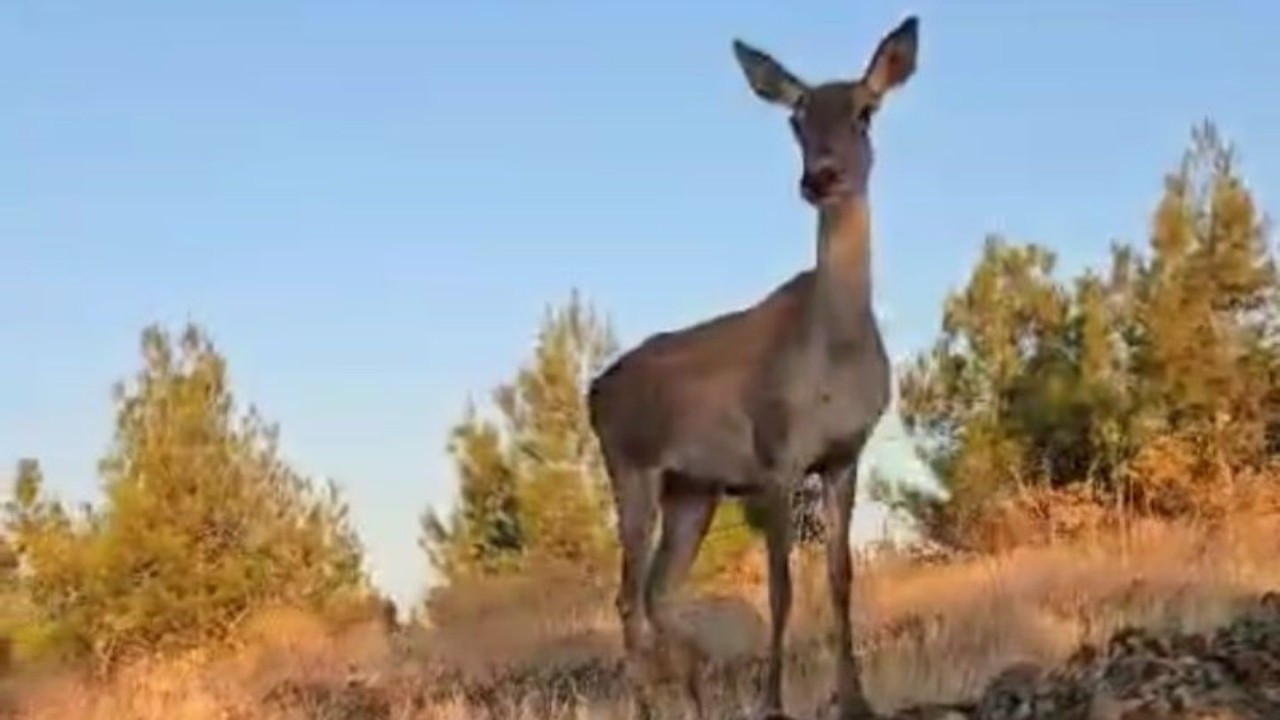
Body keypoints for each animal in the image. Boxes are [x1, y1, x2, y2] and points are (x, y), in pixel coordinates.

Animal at [588, 15, 921, 717]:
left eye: (865, 111)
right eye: (795, 119)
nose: (819, 177)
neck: (835, 354)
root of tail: (592, 391)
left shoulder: (843, 456)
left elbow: (841, 578)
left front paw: (855, 698)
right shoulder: (774, 457)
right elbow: (780, 588)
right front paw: (773, 701)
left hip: (693, 489)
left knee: (659, 591)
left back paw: (695, 687)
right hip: (631, 469)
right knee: (627, 596)